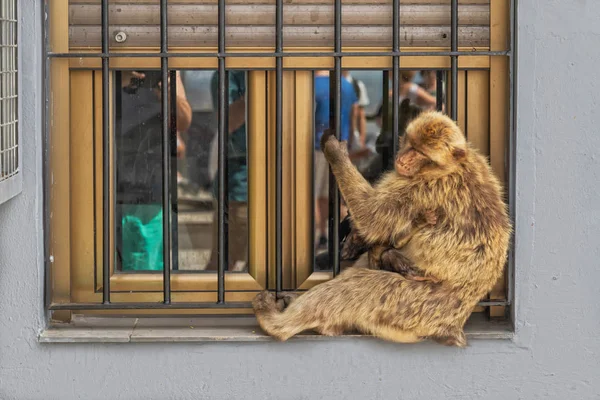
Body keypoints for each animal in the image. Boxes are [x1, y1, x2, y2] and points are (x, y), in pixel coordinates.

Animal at [253, 110, 510, 346]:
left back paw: (277, 324)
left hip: (413, 306)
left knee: (357, 285)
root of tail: (452, 325)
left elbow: (371, 217)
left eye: (420, 153)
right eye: (410, 144)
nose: (404, 159)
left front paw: (336, 153)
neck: (448, 167)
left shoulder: (421, 188)